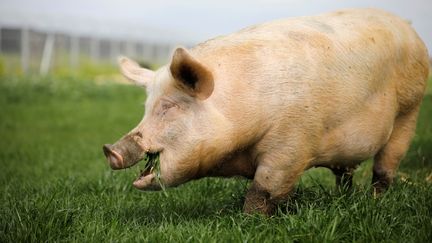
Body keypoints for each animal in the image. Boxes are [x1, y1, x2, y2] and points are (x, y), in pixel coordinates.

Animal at [102, 8, 428, 215]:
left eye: (169, 107)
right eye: (146, 107)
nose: (110, 150)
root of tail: (409, 28)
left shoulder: (292, 141)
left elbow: (264, 188)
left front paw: (250, 220)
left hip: (409, 110)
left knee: (385, 166)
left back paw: (375, 200)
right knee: (345, 172)